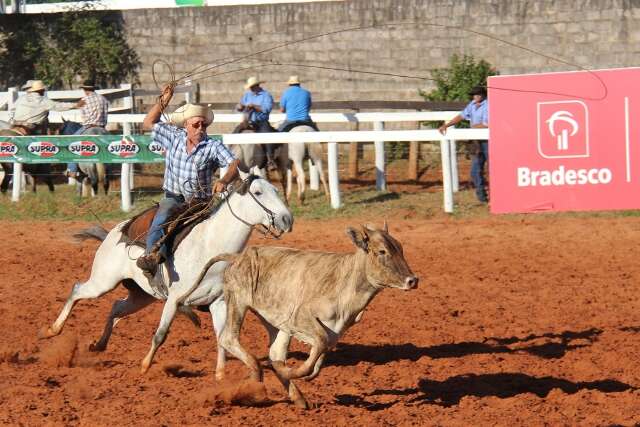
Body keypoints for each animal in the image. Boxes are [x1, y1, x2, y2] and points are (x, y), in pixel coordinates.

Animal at [40, 171, 290, 378]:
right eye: (258, 192)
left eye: (276, 190)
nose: (287, 219)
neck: (209, 247)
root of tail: (115, 232)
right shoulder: (174, 299)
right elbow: (160, 334)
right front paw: (144, 366)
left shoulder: (217, 302)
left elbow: (221, 338)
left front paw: (220, 376)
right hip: (103, 282)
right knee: (77, 291)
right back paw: (52, 330)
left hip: (141, 296)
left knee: (116, 308)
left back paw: (99, 345)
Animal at [192, 224, 418, 408]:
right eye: (382, 251)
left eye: (401, 249)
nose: (412, 280)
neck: (346, 281)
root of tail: (238, 257)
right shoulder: (301, 317)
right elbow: (319, 344)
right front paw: (293, 372)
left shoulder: (330, 330)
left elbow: (321, 352)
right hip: (238, 301)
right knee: (228, 338)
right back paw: (256, 378)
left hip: (276, 320)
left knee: (275, 354)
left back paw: (297, 398)